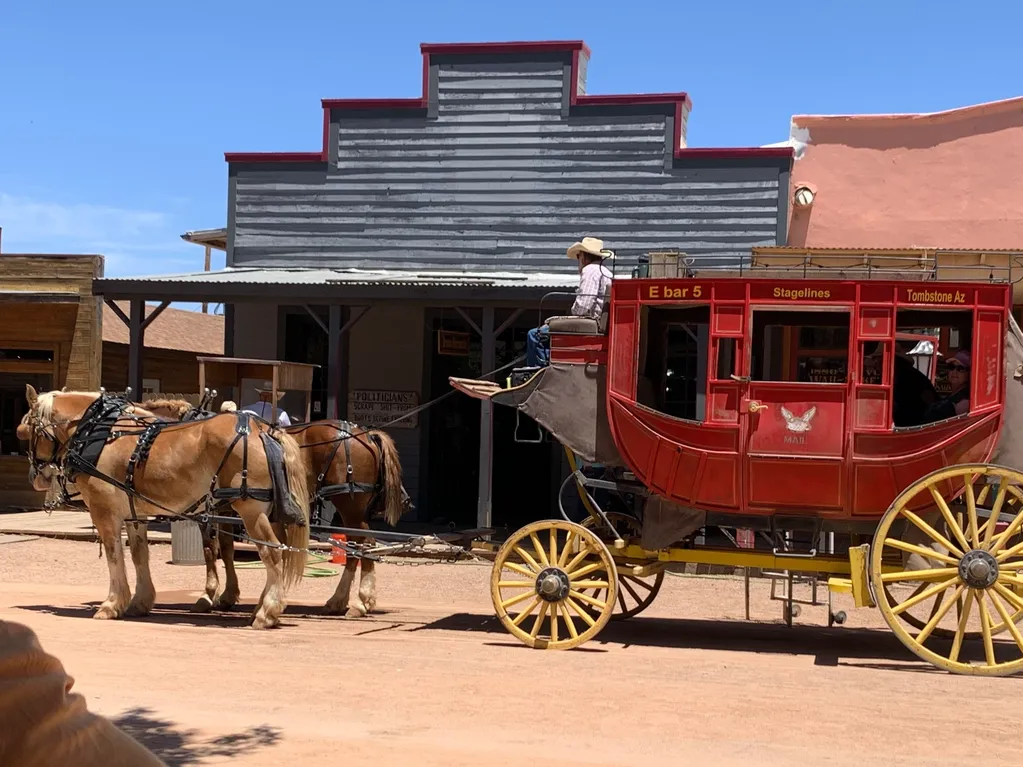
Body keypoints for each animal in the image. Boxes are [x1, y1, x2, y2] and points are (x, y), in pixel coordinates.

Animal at [17, 385, 311, 629]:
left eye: (26, 431)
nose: (35, 478)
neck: (100, 431)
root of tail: (264, 431)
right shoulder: (135, 515)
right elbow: (139, 555)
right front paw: (140, 601)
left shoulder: (105, 513)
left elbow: (114, 555)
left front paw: (111, 604)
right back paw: (261, 606)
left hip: (251, 510)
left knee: (272, 553)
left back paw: (267, 612)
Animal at [139, 397, 411, 619]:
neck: (192, 437)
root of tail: (365, 433)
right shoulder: (225, 510)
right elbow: (226, 550)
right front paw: (228, 594)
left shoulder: (209, 512)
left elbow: (210, 550)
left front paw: (209, 595)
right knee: (355, 549)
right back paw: (339, 601)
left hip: (349, 504)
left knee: (363, 546)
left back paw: (360, 602)